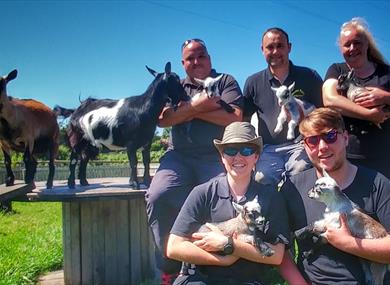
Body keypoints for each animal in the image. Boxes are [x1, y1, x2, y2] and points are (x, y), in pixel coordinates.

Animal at [53, 62, 186, 189]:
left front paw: (147, 183)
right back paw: (71, 184)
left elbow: (146, 162)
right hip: (76, 138)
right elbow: (134, 163)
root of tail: (76, 110)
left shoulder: (147, 142)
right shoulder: (131, 144)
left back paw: (84, 182)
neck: (143, 108)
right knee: (73, 159)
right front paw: (135, 184)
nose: (186, 96)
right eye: (176, 80)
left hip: (89, 142)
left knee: (84, 159)